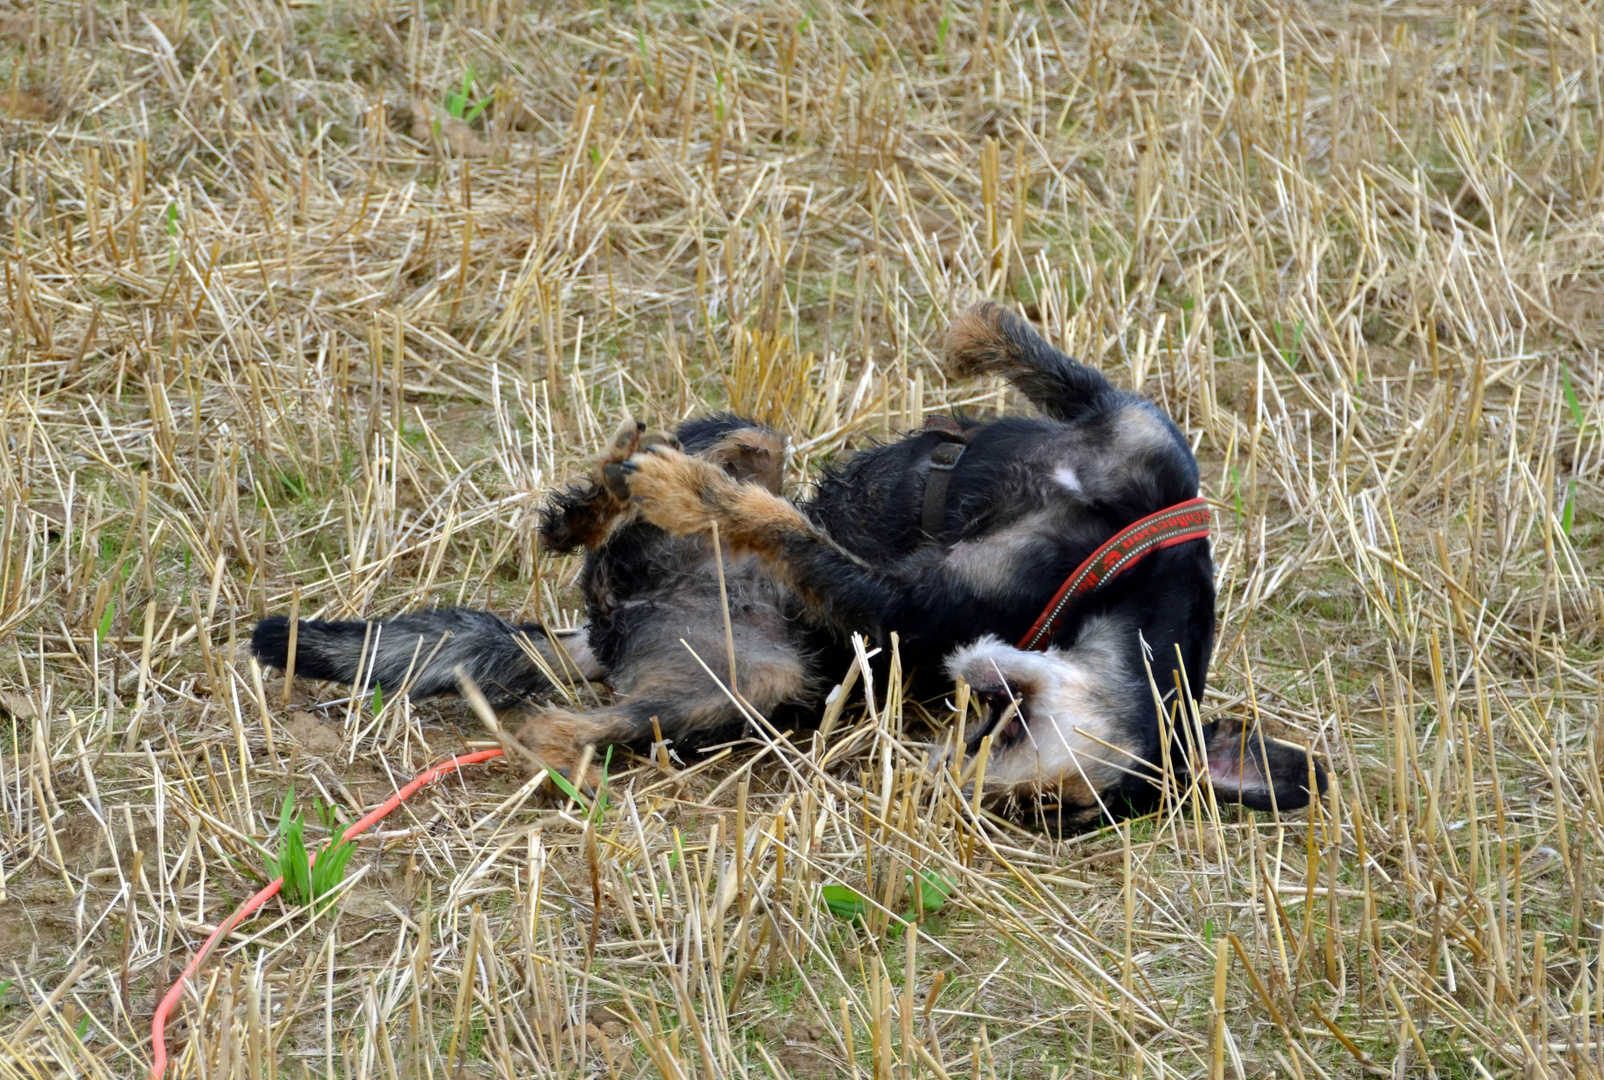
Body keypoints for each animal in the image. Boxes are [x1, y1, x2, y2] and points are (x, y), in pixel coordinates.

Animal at [612, 301, 1328, 828]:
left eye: (1044, 810)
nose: (940, 788)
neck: (1130, 568)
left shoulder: (903, 608)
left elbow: (790, 534)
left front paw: (690, 491)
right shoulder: (1125, 418)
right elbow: (1022, 342)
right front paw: (965, 345)